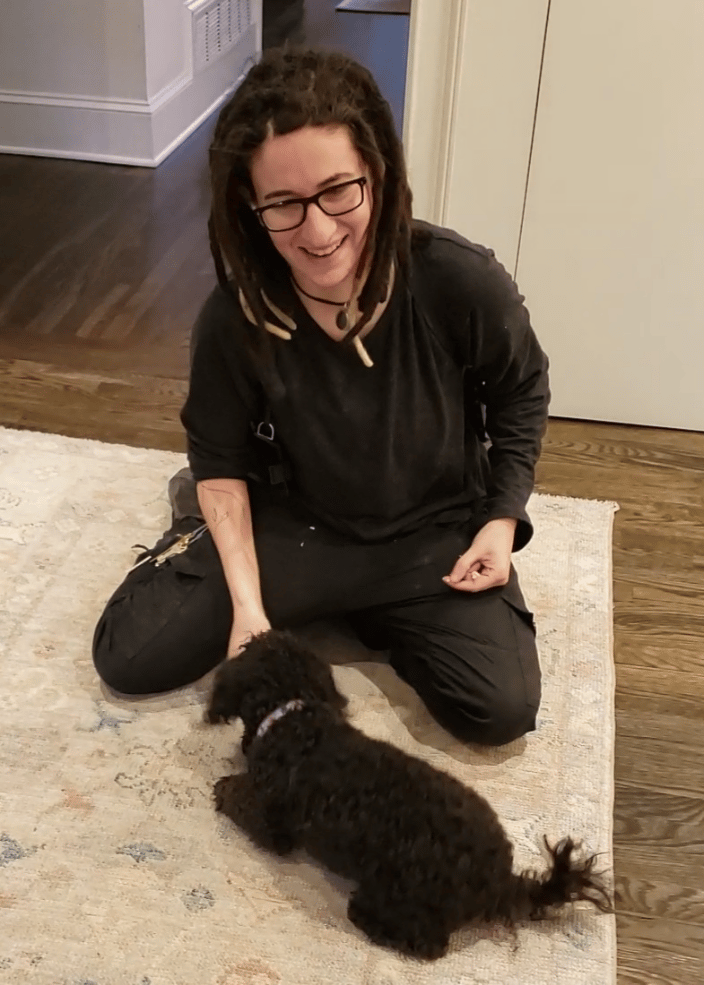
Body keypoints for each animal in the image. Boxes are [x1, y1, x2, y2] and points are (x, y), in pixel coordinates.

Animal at [206, 629, 611, 960]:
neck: (296, 718)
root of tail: (500, 880)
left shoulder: (273, 821)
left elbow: (238, 796)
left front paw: (222, 787)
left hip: (396, 898)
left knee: (429, 945)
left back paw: (372, 924)